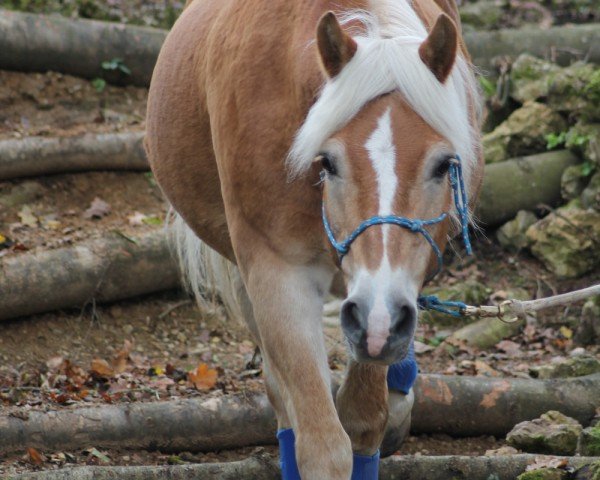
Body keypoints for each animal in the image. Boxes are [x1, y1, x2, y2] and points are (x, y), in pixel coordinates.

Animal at [148, 0, 486, 476]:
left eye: (442, 165)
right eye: (327, 162)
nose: (379, 319)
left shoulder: (388, 296)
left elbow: (363, 421)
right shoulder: (278, 273)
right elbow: (322, 444)